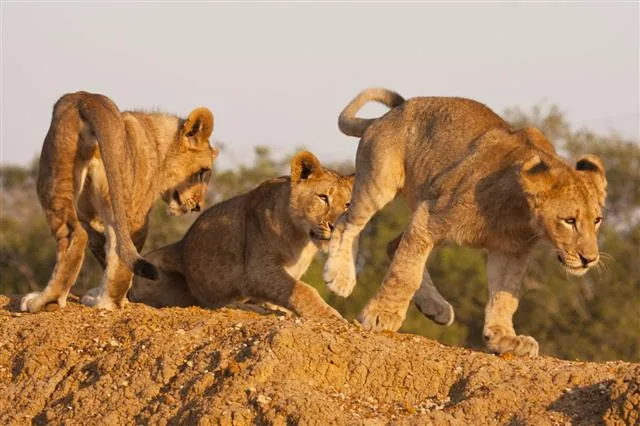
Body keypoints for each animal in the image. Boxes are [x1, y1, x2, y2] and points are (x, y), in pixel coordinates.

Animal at [20, 91, 218, 313]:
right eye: (203, 172)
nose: (199, 206)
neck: (158, 144)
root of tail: (87, 98)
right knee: (115, 245)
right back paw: (103, 301)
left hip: (53, 173)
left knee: (75, 235)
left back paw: (47, 301)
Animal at [128, 151, 353, 320]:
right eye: (323, 197)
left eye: (347, 205)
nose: (336, 226)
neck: (301, 238)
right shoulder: (257, 270)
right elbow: (303, 290)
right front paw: (331, 316)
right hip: (154, 267)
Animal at [324, 88, 607, 356]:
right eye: (569, 220)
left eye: (597, 220)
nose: (589, 259)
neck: (519, 215)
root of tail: (389, 114)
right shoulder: (430, 215)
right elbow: (405, 273)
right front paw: (380, 314)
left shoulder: (512, 251)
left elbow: (505, 296)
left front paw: (504, 338)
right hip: (380, 181)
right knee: (347, 222)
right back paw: (340, 276)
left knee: (393, 244)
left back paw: (436, 307)